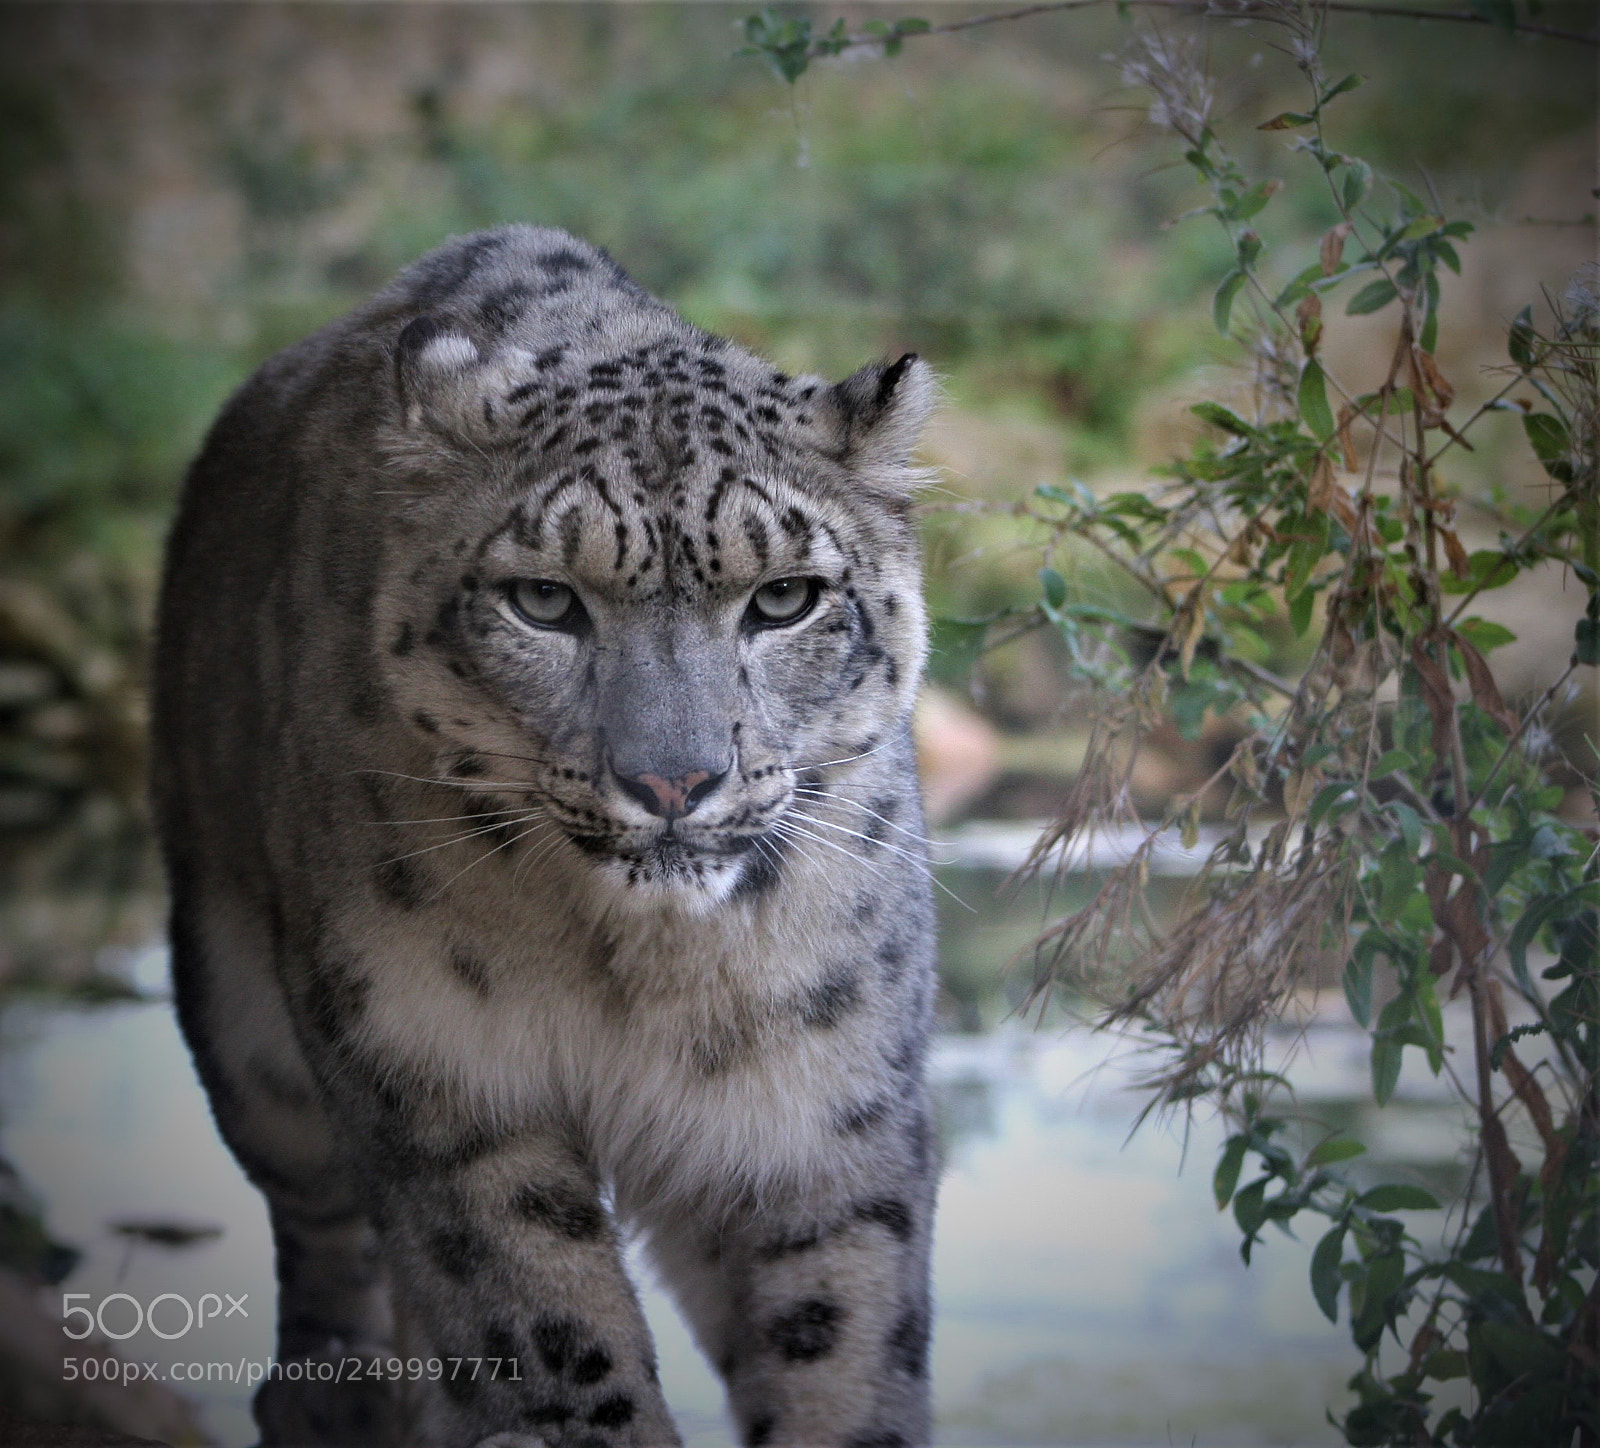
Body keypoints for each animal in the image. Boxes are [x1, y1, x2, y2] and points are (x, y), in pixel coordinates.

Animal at [152, 224, 941, 1448]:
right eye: (543, 600)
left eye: (784, 598)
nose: (673, 779)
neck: (635, 967)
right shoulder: (444, 1074)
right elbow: (545, 1326)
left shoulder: (818, 1111)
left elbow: (837, 1341)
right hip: (246, 1026)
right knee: (316, 1215)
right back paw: (333, 1392)